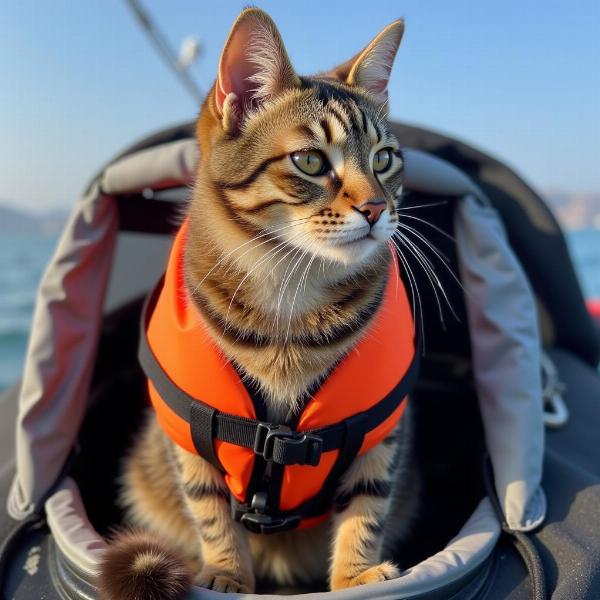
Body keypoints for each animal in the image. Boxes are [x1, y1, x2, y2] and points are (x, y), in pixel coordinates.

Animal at [98, 9, 420, 600]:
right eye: (310, 160)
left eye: (384, 159)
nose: (376, 207)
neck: (290, 283)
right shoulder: (188, 436)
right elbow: (210, 511)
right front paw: (226, 574)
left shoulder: (382, 431)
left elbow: (368, 506)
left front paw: (354, 576)